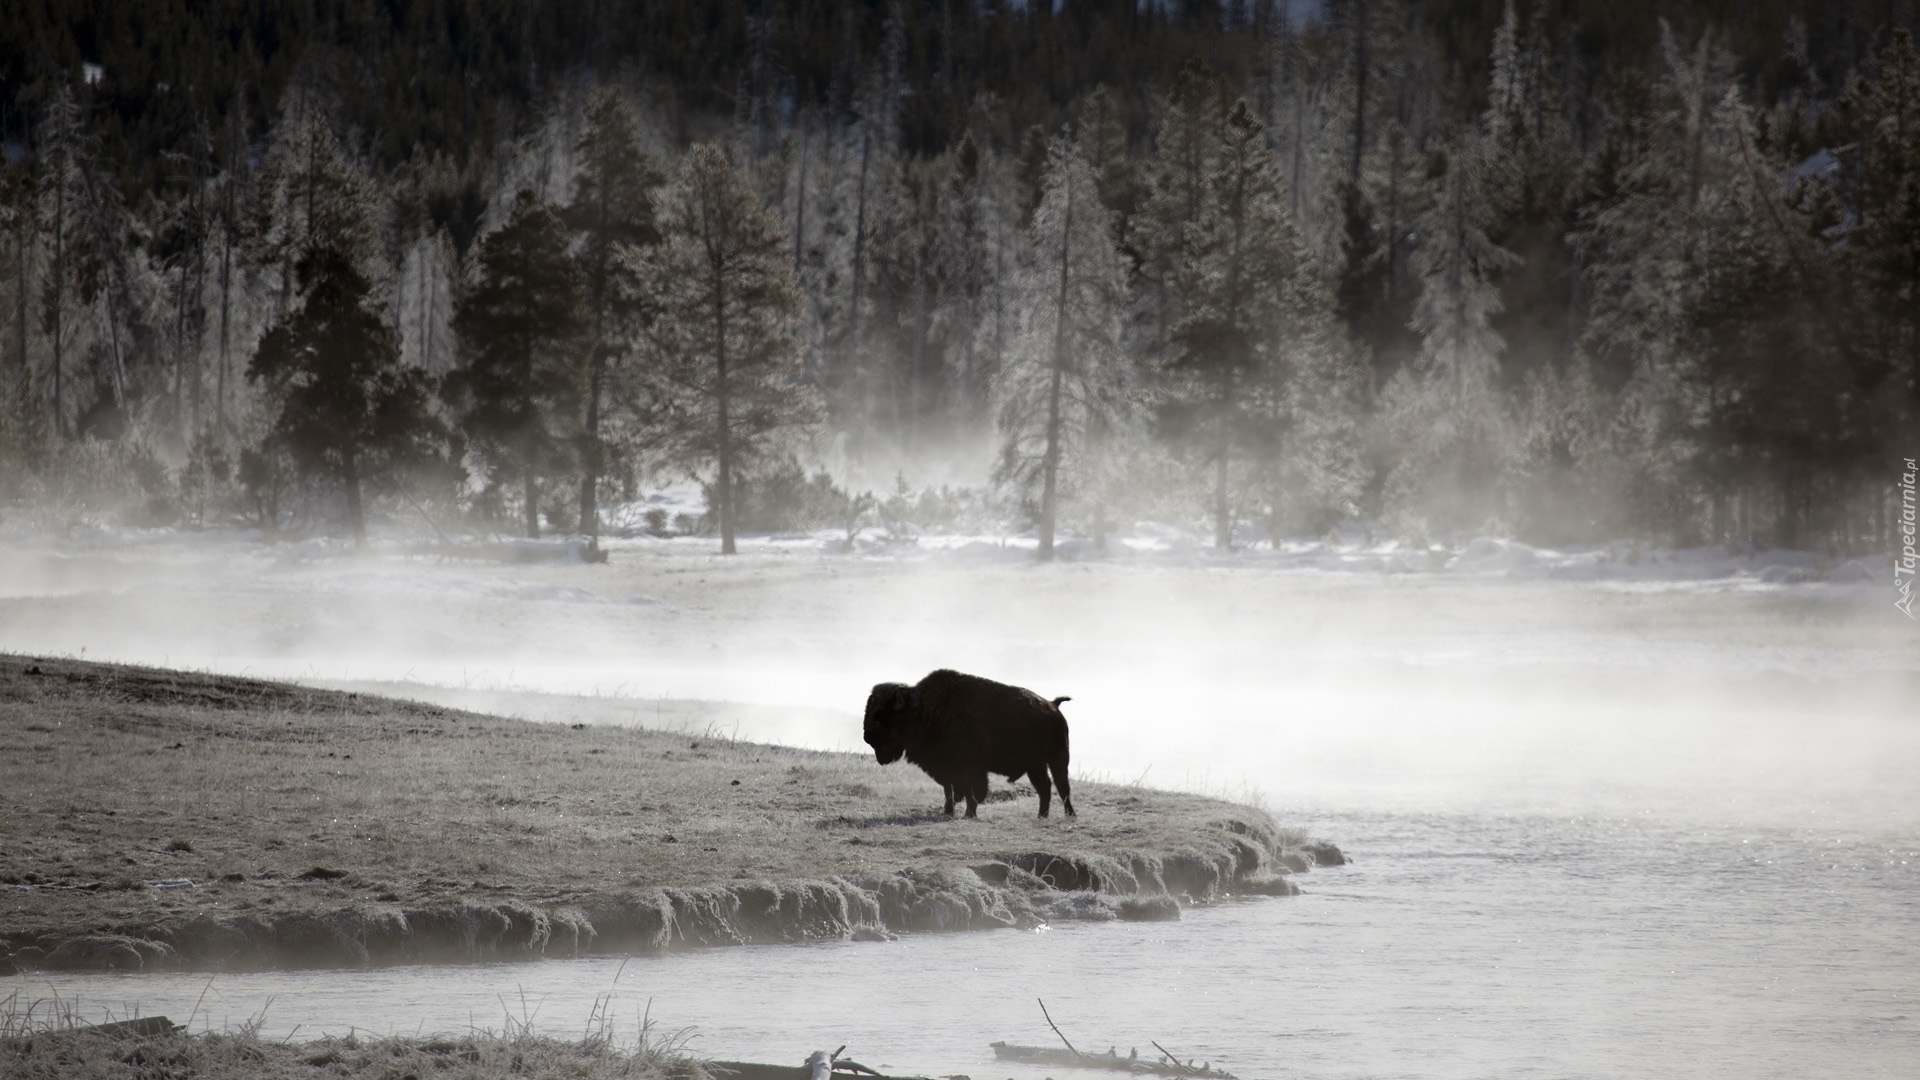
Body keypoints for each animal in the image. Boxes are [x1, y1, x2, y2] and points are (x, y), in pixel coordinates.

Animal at [864, 664, 1075, 814]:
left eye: (880, 715)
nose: (867, 736)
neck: (921, 710)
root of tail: (1053, 706)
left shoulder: (970, 769)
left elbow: (970, 792)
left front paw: (969, 813)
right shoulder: (946, 770)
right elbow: (950, 791)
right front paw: (948, 812)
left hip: (1057, 758)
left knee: (1061, 786)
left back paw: (1068, 814)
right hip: (1035, 765)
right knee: (1045, 787)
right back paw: (1042, 816)